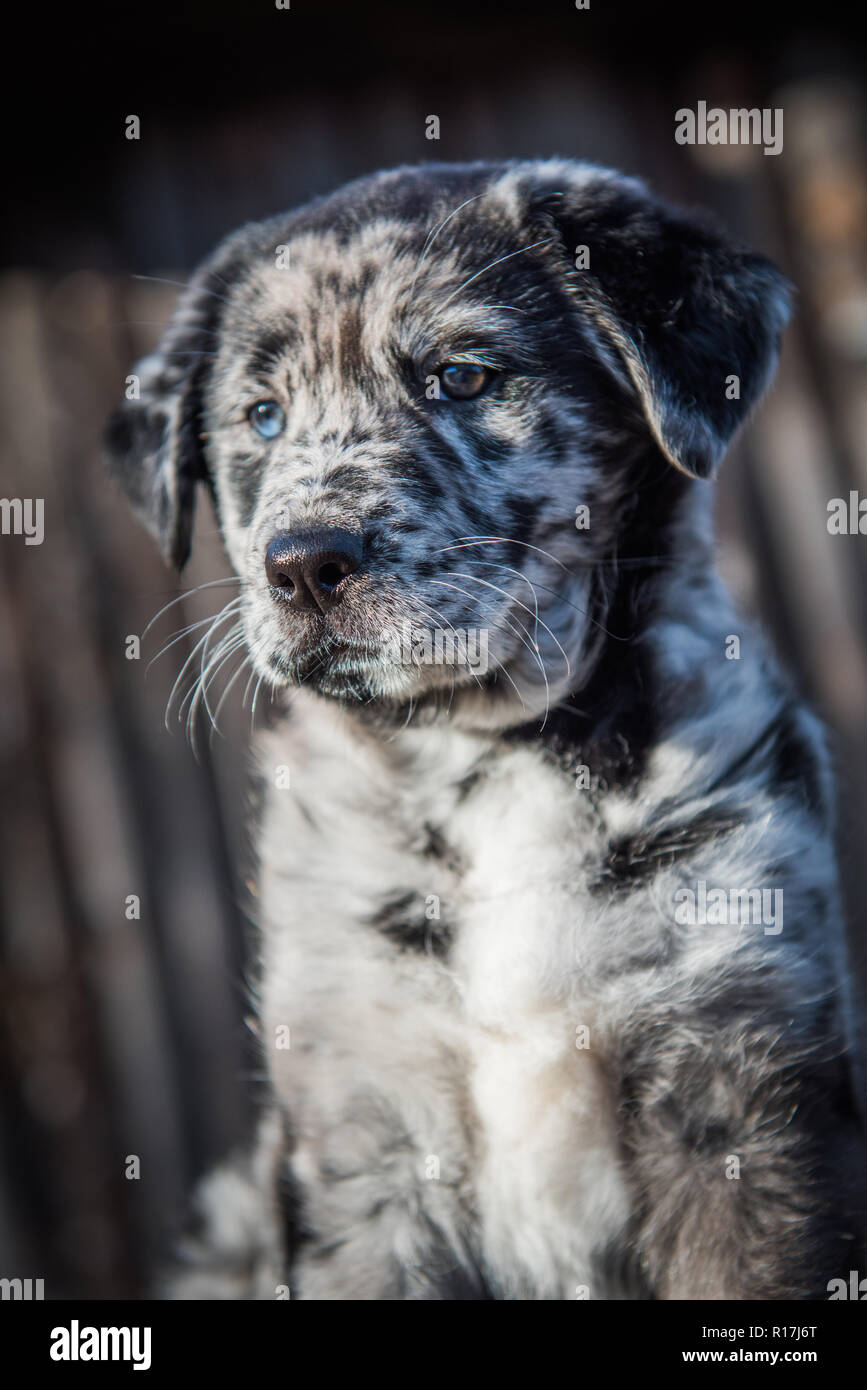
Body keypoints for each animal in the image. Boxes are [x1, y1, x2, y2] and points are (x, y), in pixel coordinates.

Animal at [104, 162, 861, 1301]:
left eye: (460, 377)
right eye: (262, 416)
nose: (303, 565)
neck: (495, 756)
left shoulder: (740, 1097)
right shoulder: (357, 1133)